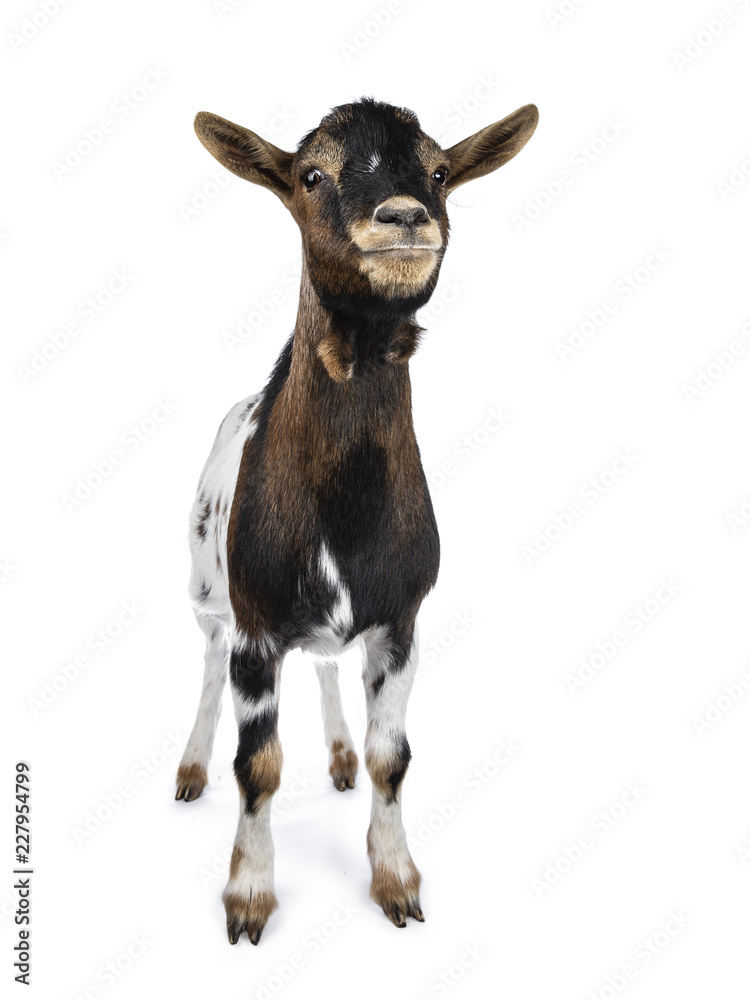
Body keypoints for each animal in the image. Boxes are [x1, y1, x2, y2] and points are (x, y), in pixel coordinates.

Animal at [175, 97, 538, 944]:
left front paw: (397, 881)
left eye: (438, 169)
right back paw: (190, 770)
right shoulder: (256, 627)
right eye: (312, 175)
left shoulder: (400, 621)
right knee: (205, 665)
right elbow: (258, 765)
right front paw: (248, 897)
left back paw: (336, 758)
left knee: (325, 666)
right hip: (208, 594)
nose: (403, 217)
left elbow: (389, 757)